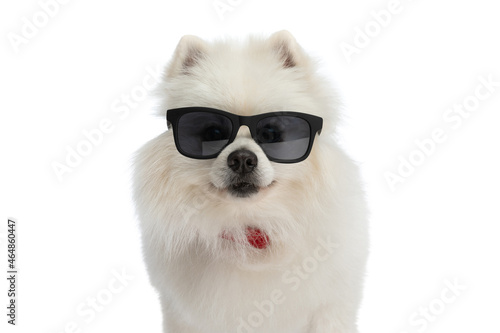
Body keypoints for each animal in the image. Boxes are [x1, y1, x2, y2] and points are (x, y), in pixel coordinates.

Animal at [133, 31, 368, 332]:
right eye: (213, 133)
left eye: (271, 134)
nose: (242, 158)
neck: (249, 227)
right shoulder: (184, 315)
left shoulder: (329, 308)